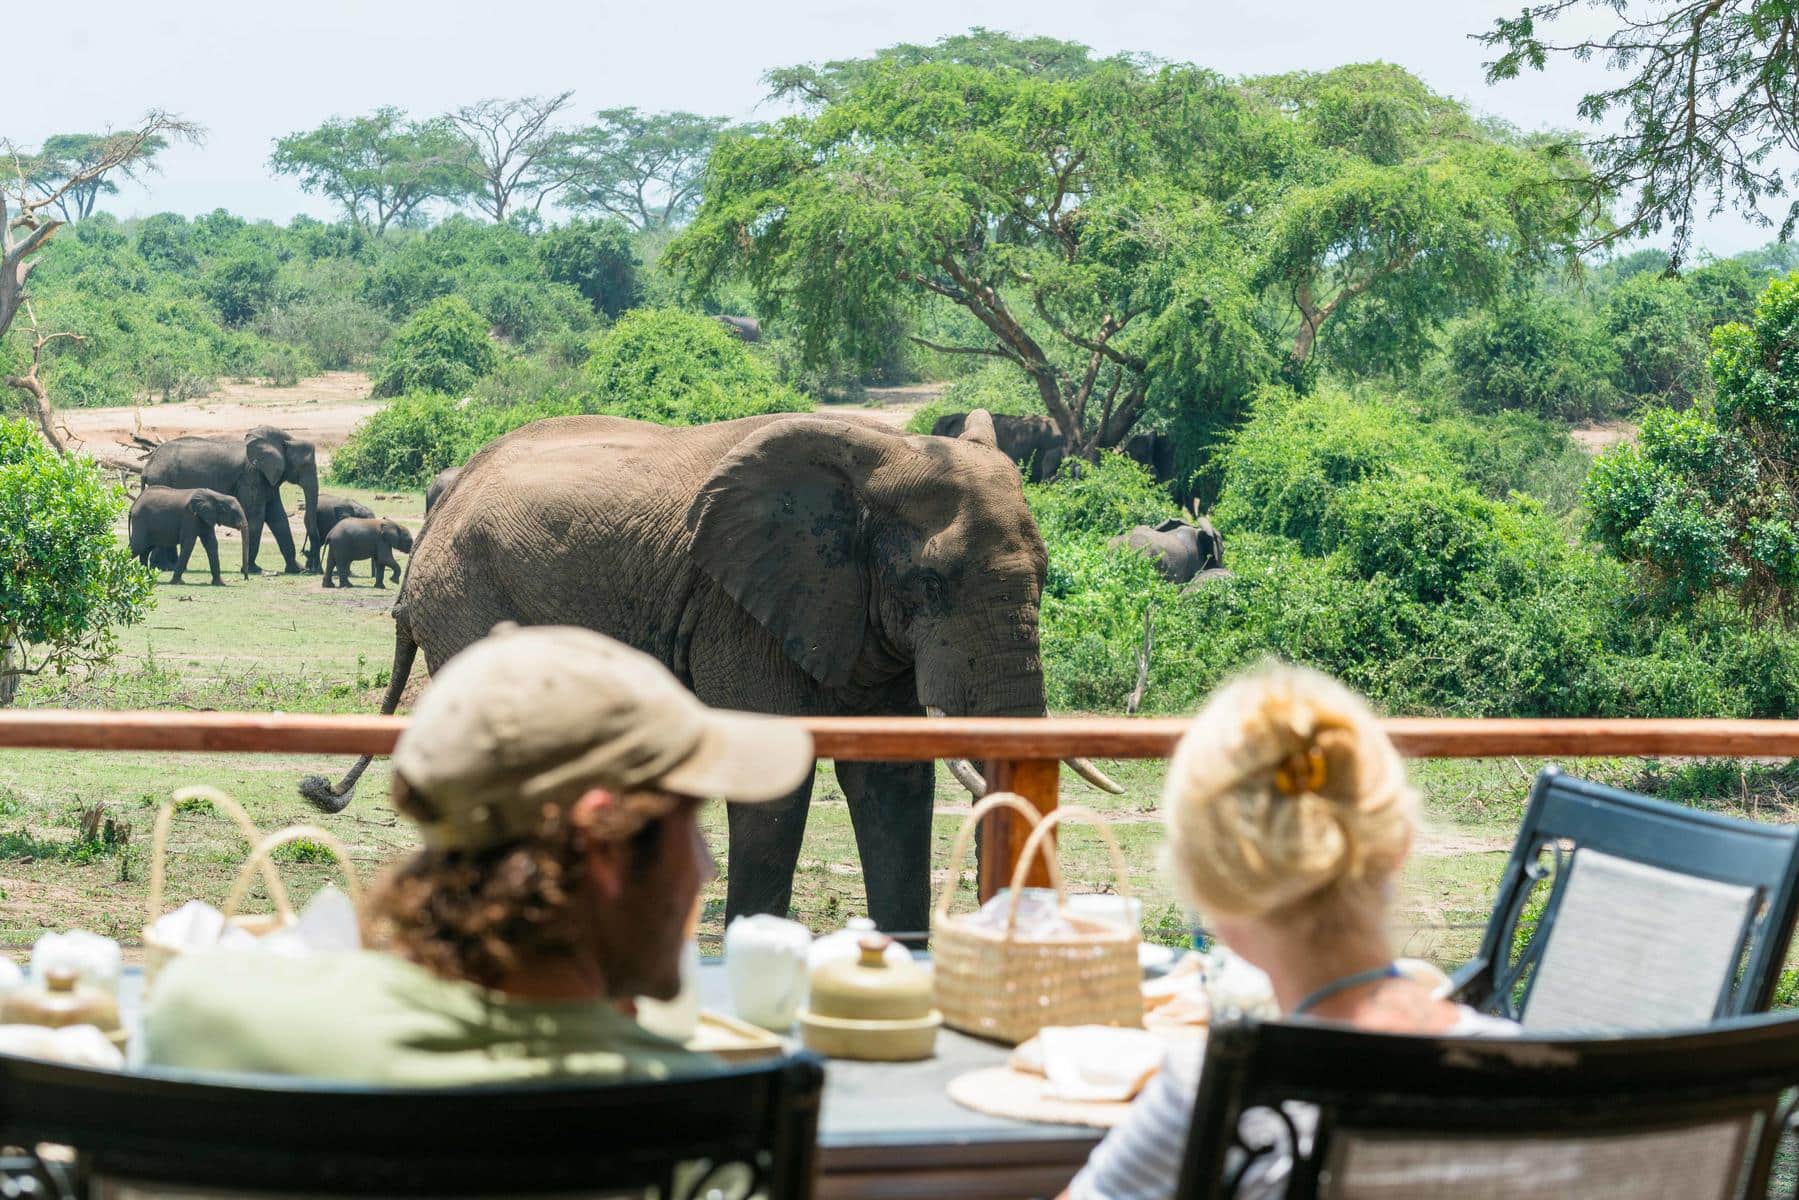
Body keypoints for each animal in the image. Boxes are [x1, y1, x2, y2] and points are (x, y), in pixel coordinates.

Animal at [142, 426, 321, 575]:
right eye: (305, 466)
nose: (313, 569)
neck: (286, 440)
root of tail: (147, 466)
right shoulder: (252, 475)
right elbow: (257, 517)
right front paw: (255, 570)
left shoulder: (267, 479)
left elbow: (279, 518)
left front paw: (297, 570)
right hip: (163, 479)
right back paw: (164, 567)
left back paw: (166, 566)